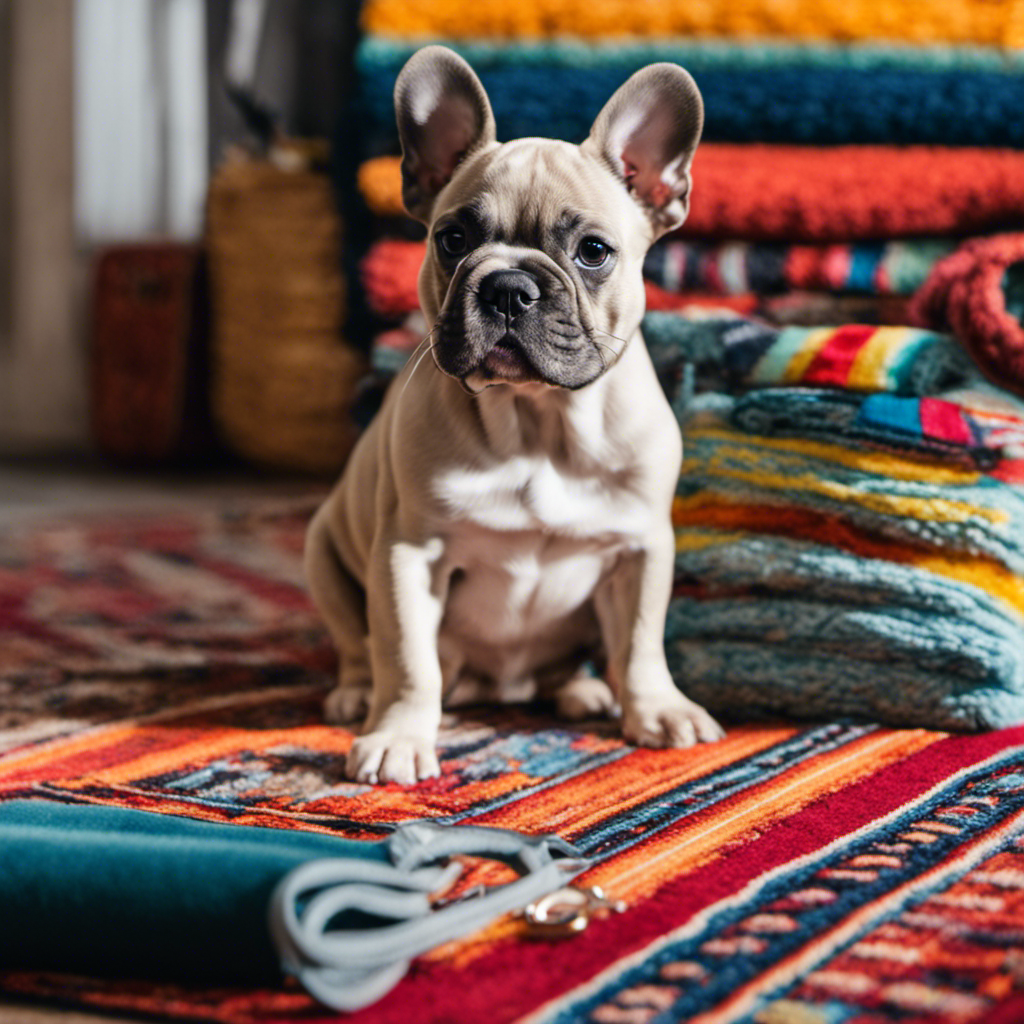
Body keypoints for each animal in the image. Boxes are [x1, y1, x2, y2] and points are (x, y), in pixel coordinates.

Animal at [307, 46, 724, 782]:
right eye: (451, 239)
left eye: (593, 252)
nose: (507, 286)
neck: (538, 421)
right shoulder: (408, 554)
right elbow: (405, 656)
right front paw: (399, 736)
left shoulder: (642, 550)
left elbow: (641, 642)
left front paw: (657, 709)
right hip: (322, 549)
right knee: (361, 646)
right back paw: (358, 695)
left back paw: (582, 691)